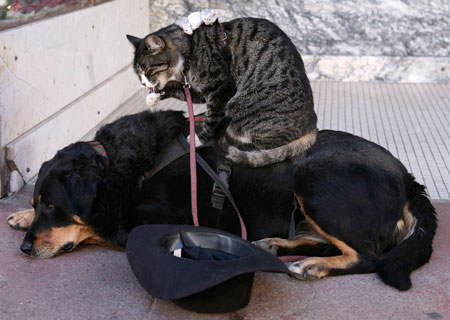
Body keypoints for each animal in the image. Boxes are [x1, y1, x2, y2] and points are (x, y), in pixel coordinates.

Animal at [6, 109, 436, 290]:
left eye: (53, 206)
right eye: (39, 202)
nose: (25, 250)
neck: (119, 164)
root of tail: (410, 180)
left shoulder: (150, 221)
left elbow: (97, 226)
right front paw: (19, 216)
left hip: (315, 177)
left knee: (367, 255)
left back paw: (312, 265)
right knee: (328, 241)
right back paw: (277, 244)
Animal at [126, 17, 316, 168]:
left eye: (147, 70)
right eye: (138, 73)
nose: (143, 83)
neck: (189, 48)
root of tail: (312, 127)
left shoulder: (220, 88)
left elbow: (212, 117)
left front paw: (199, 139)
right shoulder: (198, 90)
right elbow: (179, 89)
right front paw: (154, 96)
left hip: (239, 104)